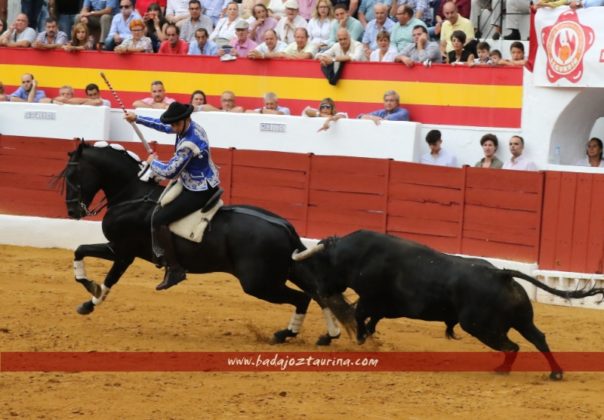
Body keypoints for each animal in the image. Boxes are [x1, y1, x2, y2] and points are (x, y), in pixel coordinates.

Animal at [58, 141, 342, 344]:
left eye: (72, 173)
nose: (72, 211)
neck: (133, 195)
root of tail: (285, 227)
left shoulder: (122, 250)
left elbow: (105, 274)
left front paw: (90, 296)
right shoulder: (119, 250)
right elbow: (81, 252)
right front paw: (89, 295)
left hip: (258, 282)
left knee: (302, 297)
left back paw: (285, 334)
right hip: (287, 270)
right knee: (318, 294)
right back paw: (328, 336)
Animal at [292, 230, 604, 380]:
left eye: (322, 264)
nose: (322, 290)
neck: (356, 255)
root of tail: (500, 274)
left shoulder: (373, 298)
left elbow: (360, 313)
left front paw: (360, 338)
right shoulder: (386, 305)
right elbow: (369, 318)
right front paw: (367, 337)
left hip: (479, 326)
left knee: (512, 346)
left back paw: (502, 370)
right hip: (522, 320)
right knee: (538, 338)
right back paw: (555, 372)